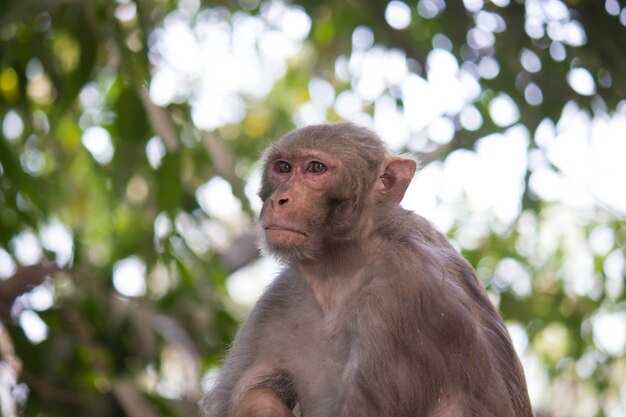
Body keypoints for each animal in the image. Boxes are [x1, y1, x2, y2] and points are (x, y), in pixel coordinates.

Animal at [201, 122, 532, 416]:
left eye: (316, 169)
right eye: (282, 168)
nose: (280, 199)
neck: (343, 267)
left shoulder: (403, 295)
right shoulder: (279, 299)